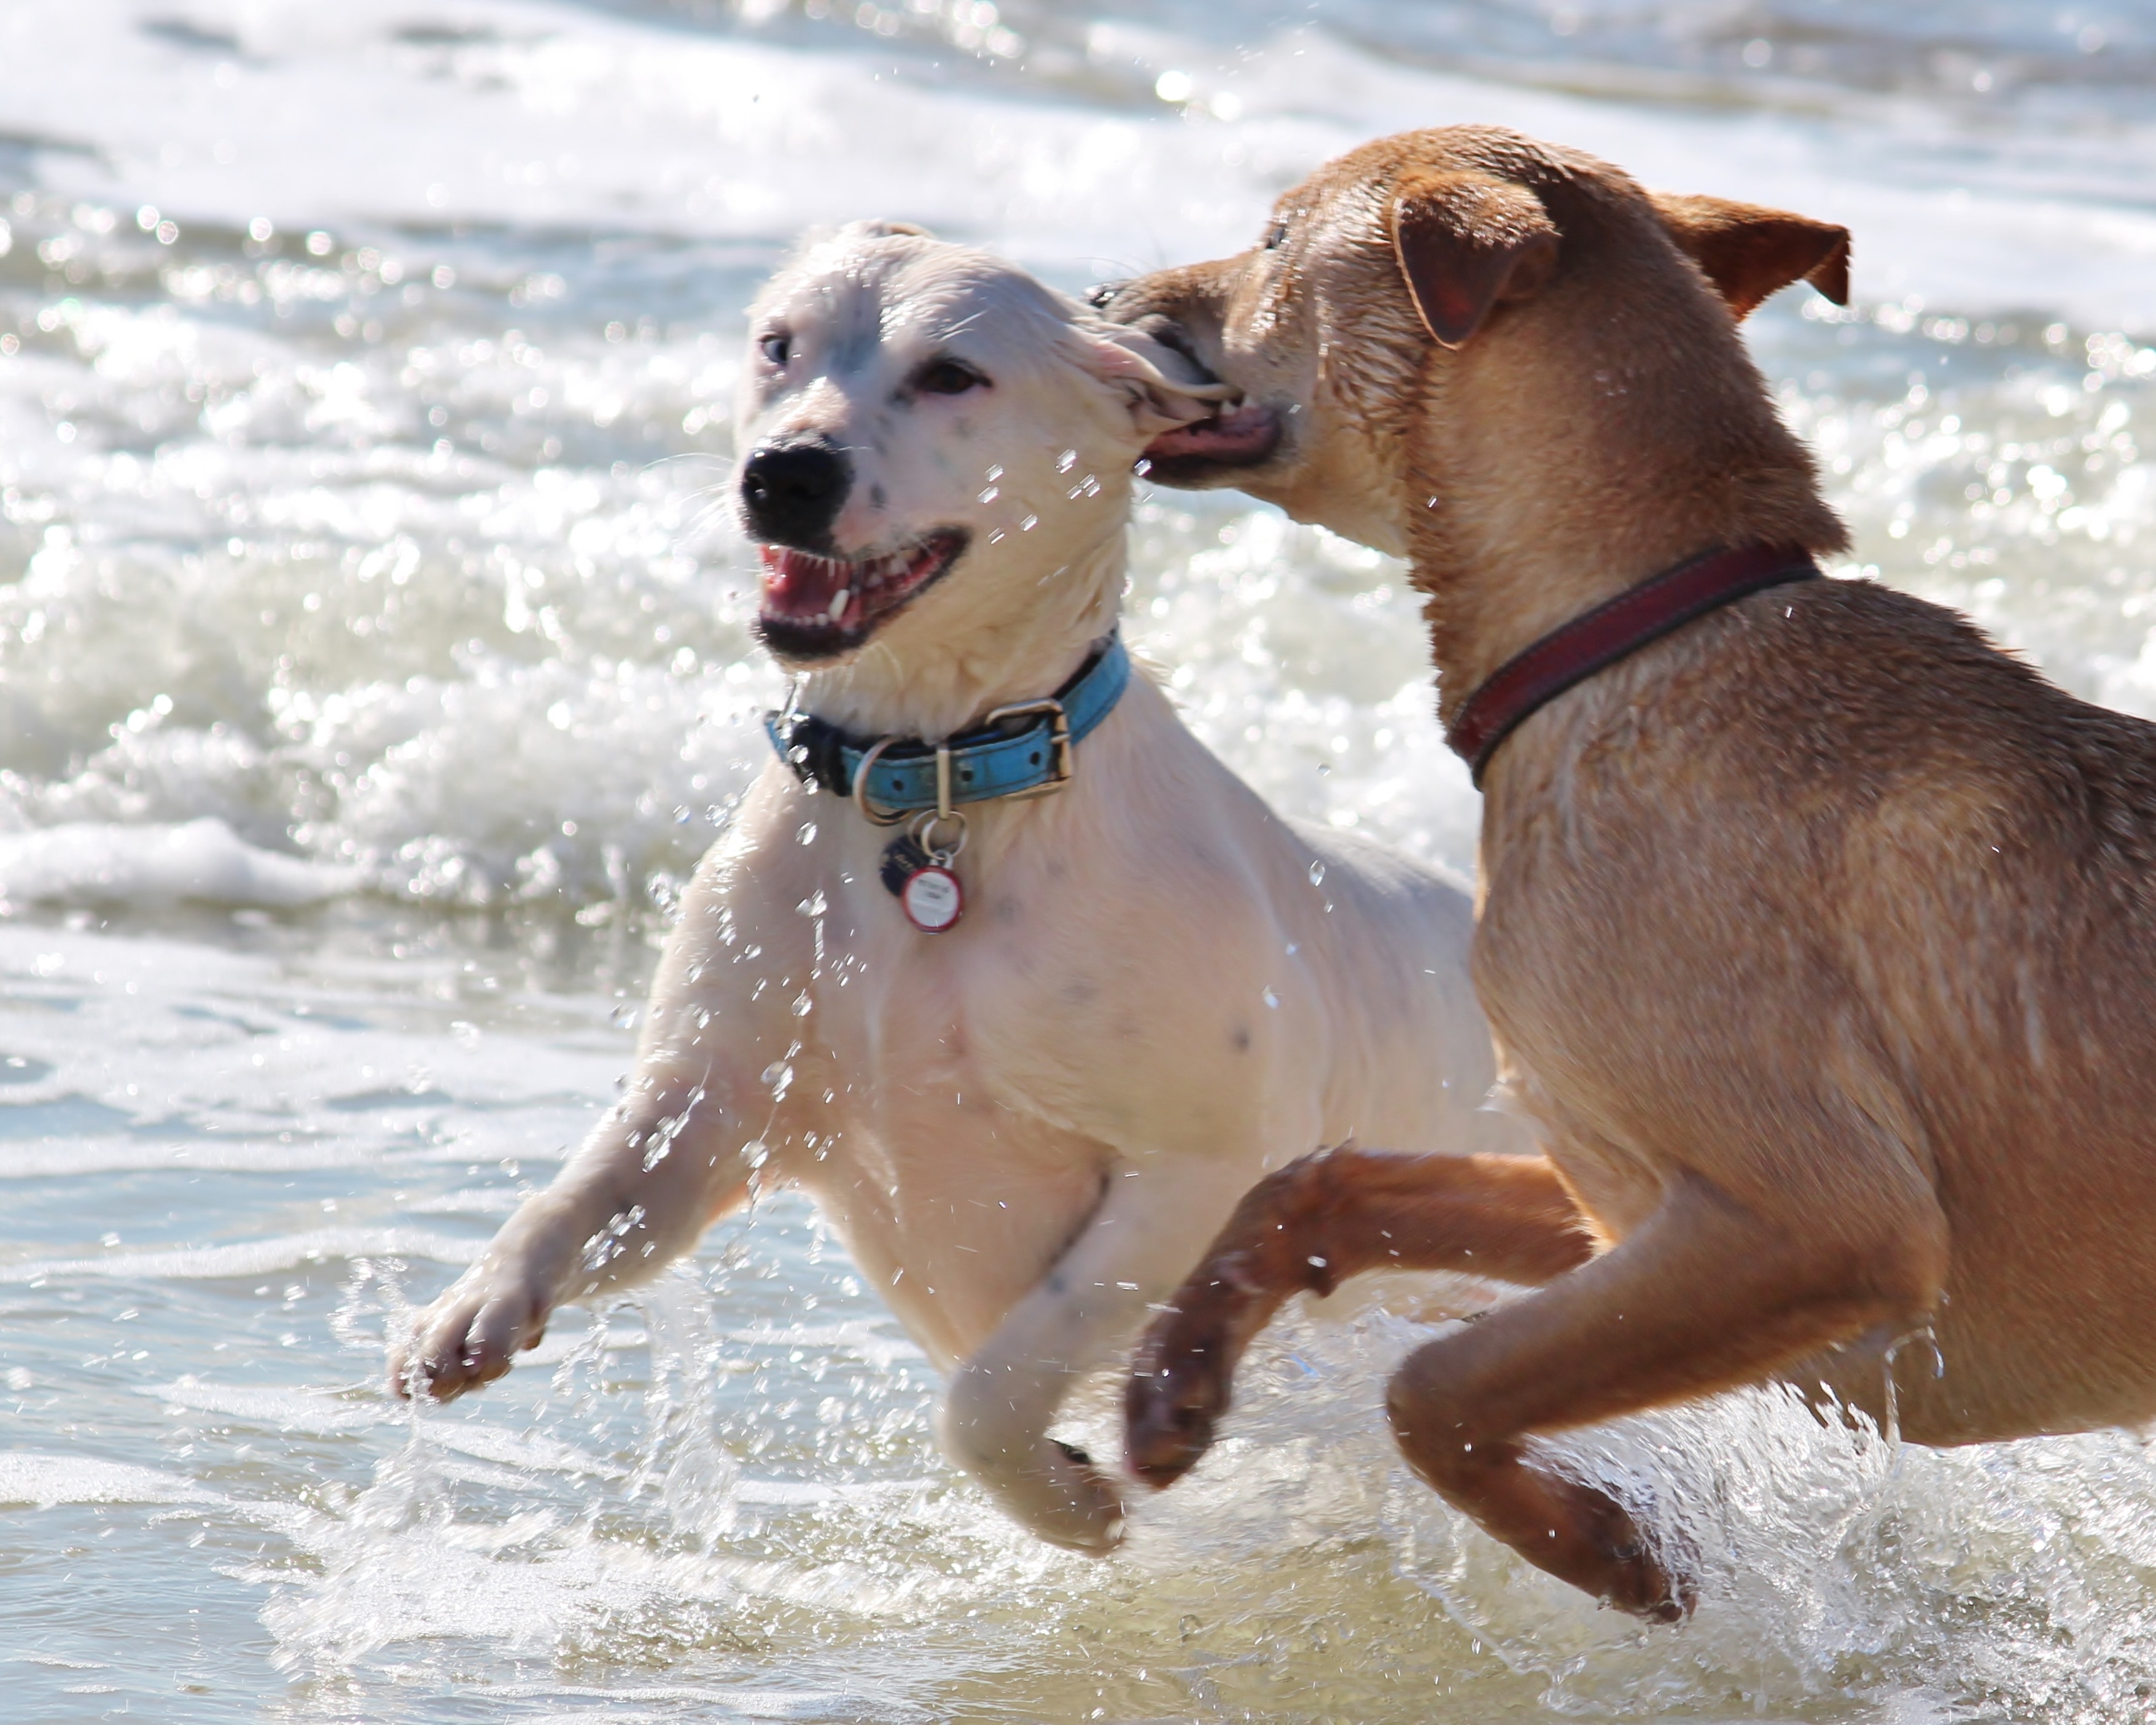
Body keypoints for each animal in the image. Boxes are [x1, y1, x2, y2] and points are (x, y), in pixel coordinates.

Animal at [392, 222, 1535, 1552]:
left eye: (952, 374)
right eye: (778, 345)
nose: (785, 473)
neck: (933, 771)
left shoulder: (1190, 1175)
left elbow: (991, 1388)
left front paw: (1068, 1500)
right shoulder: (713, 1105)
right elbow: (591, 1194)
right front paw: (476, 1304)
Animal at [1112, 128, 2156, 1621]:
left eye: (1270, 239)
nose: (1102, 293)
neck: (1629, 627)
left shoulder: (1809, 1223)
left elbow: (1431, 1381)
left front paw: (1603, 1546)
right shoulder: (1634, 1196)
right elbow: (1325, 1185)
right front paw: (1174, 1373)